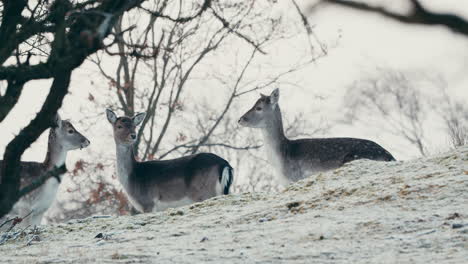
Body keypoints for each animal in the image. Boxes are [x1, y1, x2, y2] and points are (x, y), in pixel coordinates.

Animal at [104, 108, 232, 213]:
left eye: (134, 126)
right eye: (119, 126)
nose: (133, 135)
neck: (131, 178)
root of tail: (224, 164)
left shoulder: (148, 203)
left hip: (206, 193)